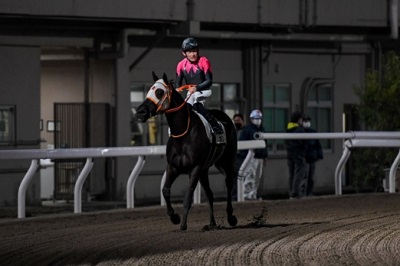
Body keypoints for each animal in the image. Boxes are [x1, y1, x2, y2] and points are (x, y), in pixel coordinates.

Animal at [138, 71, 238, 231]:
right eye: (149, 90)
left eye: (159, 92)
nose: (140, 112)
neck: (183, 134)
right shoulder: (173, 167)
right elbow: (165, 190)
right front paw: (174, 217)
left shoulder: (195, 168)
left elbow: (188, 197)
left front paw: (183, 224)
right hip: (205, 169)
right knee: (210, 194)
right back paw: (212, 223)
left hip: (227, 160)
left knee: (229, 183)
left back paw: (231, 217)